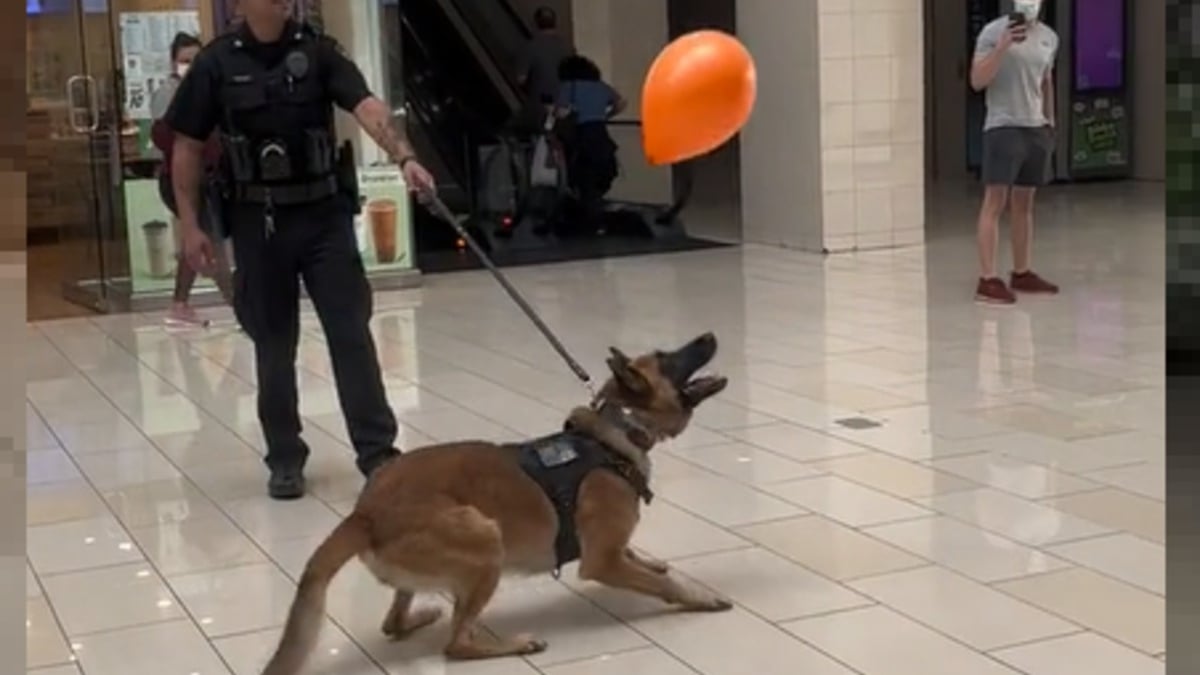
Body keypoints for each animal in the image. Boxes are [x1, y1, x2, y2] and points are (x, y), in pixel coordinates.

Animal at [265, 331, 729, 672]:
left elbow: (641, 559)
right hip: (486, 539)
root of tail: (364, 513)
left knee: (394, 622)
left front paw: (650, 561)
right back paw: (514, 643)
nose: (709, 335)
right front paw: (700, 598)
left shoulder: (612, 549)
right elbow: (663, 584)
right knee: (456, 645)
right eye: (667, 358)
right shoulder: (602, 562)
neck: (614, 433)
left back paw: (420, 617)